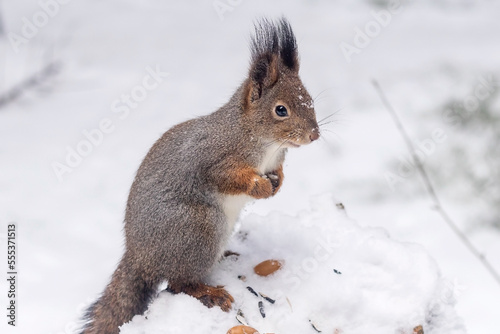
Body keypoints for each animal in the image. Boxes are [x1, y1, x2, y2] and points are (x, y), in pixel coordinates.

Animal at [79, 18, 318, 334]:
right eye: (281, 110)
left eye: (311, 100)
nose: (315, 135)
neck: (264, 142)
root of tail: (140, 260)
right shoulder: (213, 159)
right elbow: (229, 178)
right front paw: (260, 187)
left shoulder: (275, 160)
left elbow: (276, 172)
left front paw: (276, 183)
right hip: (197, 229)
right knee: (179, 283)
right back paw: (209, 292)